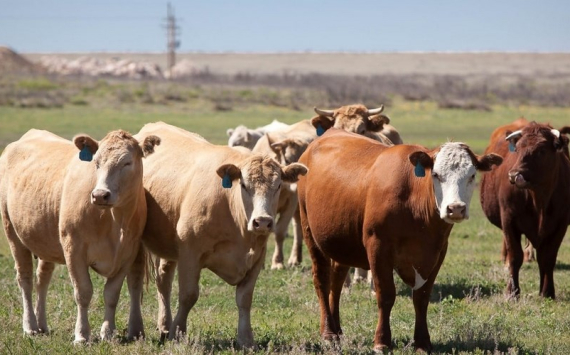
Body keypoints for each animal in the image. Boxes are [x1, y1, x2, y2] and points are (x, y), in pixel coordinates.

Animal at [131, 123, 308, 348]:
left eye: (277, 186)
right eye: (244, 185)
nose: (262, 221)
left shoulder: (257, 257)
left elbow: (244, 299)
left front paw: (246, 338)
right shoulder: (190, 254)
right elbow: (188, 295)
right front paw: (178, 333)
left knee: (163, 280)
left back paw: (164, 325)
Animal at [296, 129, 500, 354]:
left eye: (472, 175)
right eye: (436, 175)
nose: (455, 208)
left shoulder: (437, 252)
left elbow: (421, 297)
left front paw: (422, 342)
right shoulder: (378, 247)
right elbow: (386, 295)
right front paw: (382, 341)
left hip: (342, 243)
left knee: (337, 281)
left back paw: (337, 329)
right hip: (310, 232)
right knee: (322, 280)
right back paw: (328, 333)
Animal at [480, 121, 568, 298]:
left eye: (541, 150)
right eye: (518, 149)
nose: (514, 174)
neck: (539, 199)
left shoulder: (560, 225)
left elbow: (548, 258)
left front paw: (547, 292)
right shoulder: (509, 220)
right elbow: (515, 256)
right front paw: (512, 292)